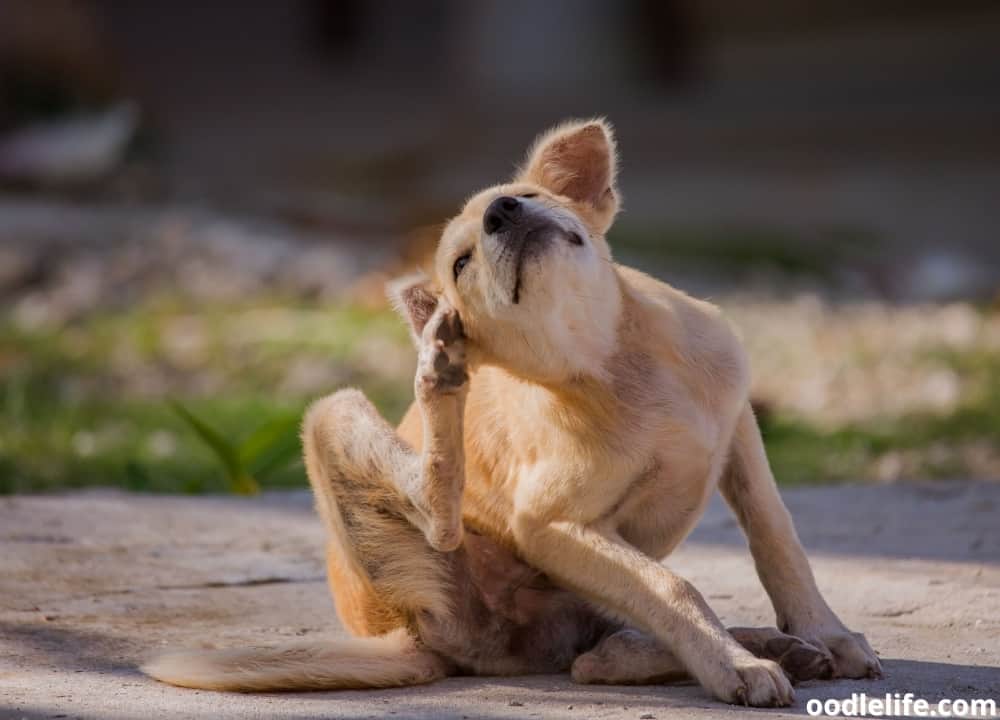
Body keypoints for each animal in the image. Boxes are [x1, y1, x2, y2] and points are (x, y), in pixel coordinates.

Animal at [145, 119, 880, 708]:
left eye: (528, 198)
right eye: (461, 262)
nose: (504, 211)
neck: (613, 359)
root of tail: (405, 635)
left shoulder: (739, 432)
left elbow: (777, 538)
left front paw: (825, 632)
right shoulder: (551, 525)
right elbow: (673, 588)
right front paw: (734, 666)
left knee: (599, 652)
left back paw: (778, 647)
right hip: (340, 423)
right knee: (472, 544)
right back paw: (439, 376)